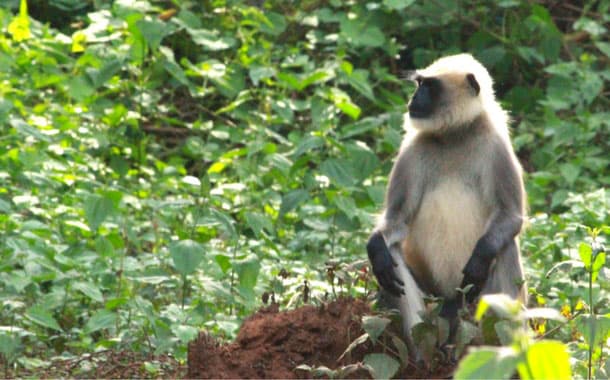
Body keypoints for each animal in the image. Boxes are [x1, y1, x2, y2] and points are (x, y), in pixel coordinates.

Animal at [364, 52, 524, 356]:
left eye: (430, 86)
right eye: (419, 84)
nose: (414, 98)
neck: (454, 137)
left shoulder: (497, 147)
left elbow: (511, 217)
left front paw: (478, 260)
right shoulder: (411, 149)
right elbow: (396, 220)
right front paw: (375, 246)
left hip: (473, 304)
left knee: (505, 246)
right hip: (431, 293)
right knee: (394, 254)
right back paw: (423, 352)